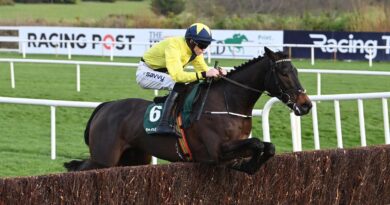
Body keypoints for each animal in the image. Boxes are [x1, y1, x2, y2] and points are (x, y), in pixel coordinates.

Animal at [64, 46, 314, 175]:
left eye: (296, 71)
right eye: (284, 73)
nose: (306, 104)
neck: (227, 103)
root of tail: (105, 107)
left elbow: (267, 146)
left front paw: (249, 165)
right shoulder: (215, 152)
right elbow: (257, 144)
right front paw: (249, 166)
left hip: (134, 158)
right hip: (103, 158)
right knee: (80, 168)